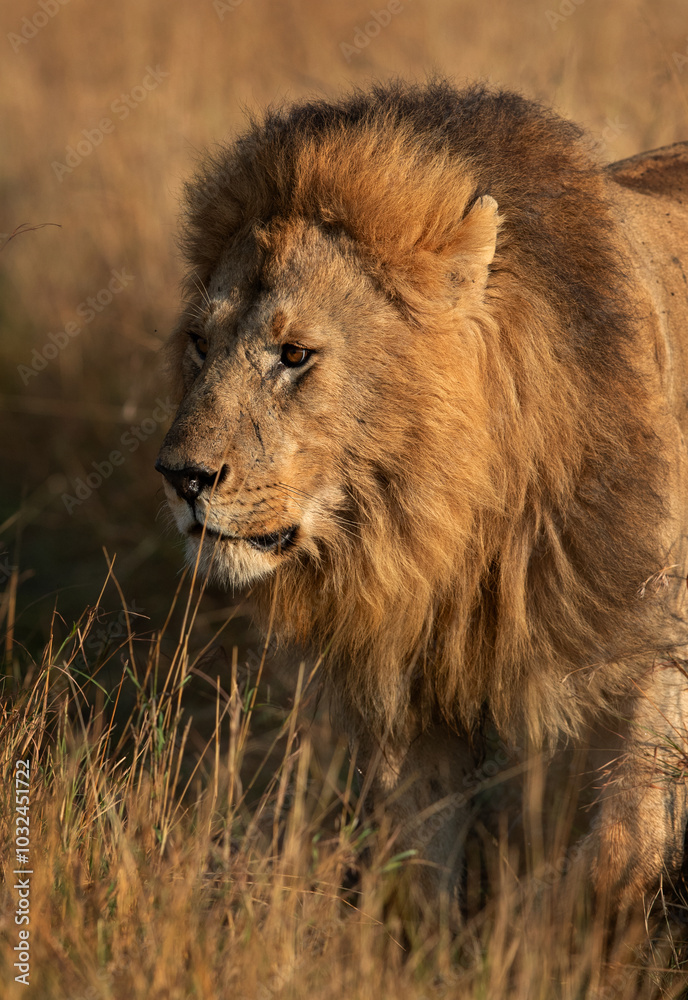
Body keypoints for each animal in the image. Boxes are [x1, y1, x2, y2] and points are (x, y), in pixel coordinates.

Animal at [156, 80, 688, 916]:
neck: (458, 529)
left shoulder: (653, 655)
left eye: (294, 354)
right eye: (199, 345)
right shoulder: (412, 693)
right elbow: (416, 872)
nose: (180, 476)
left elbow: (621, 849)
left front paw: (526, 933)